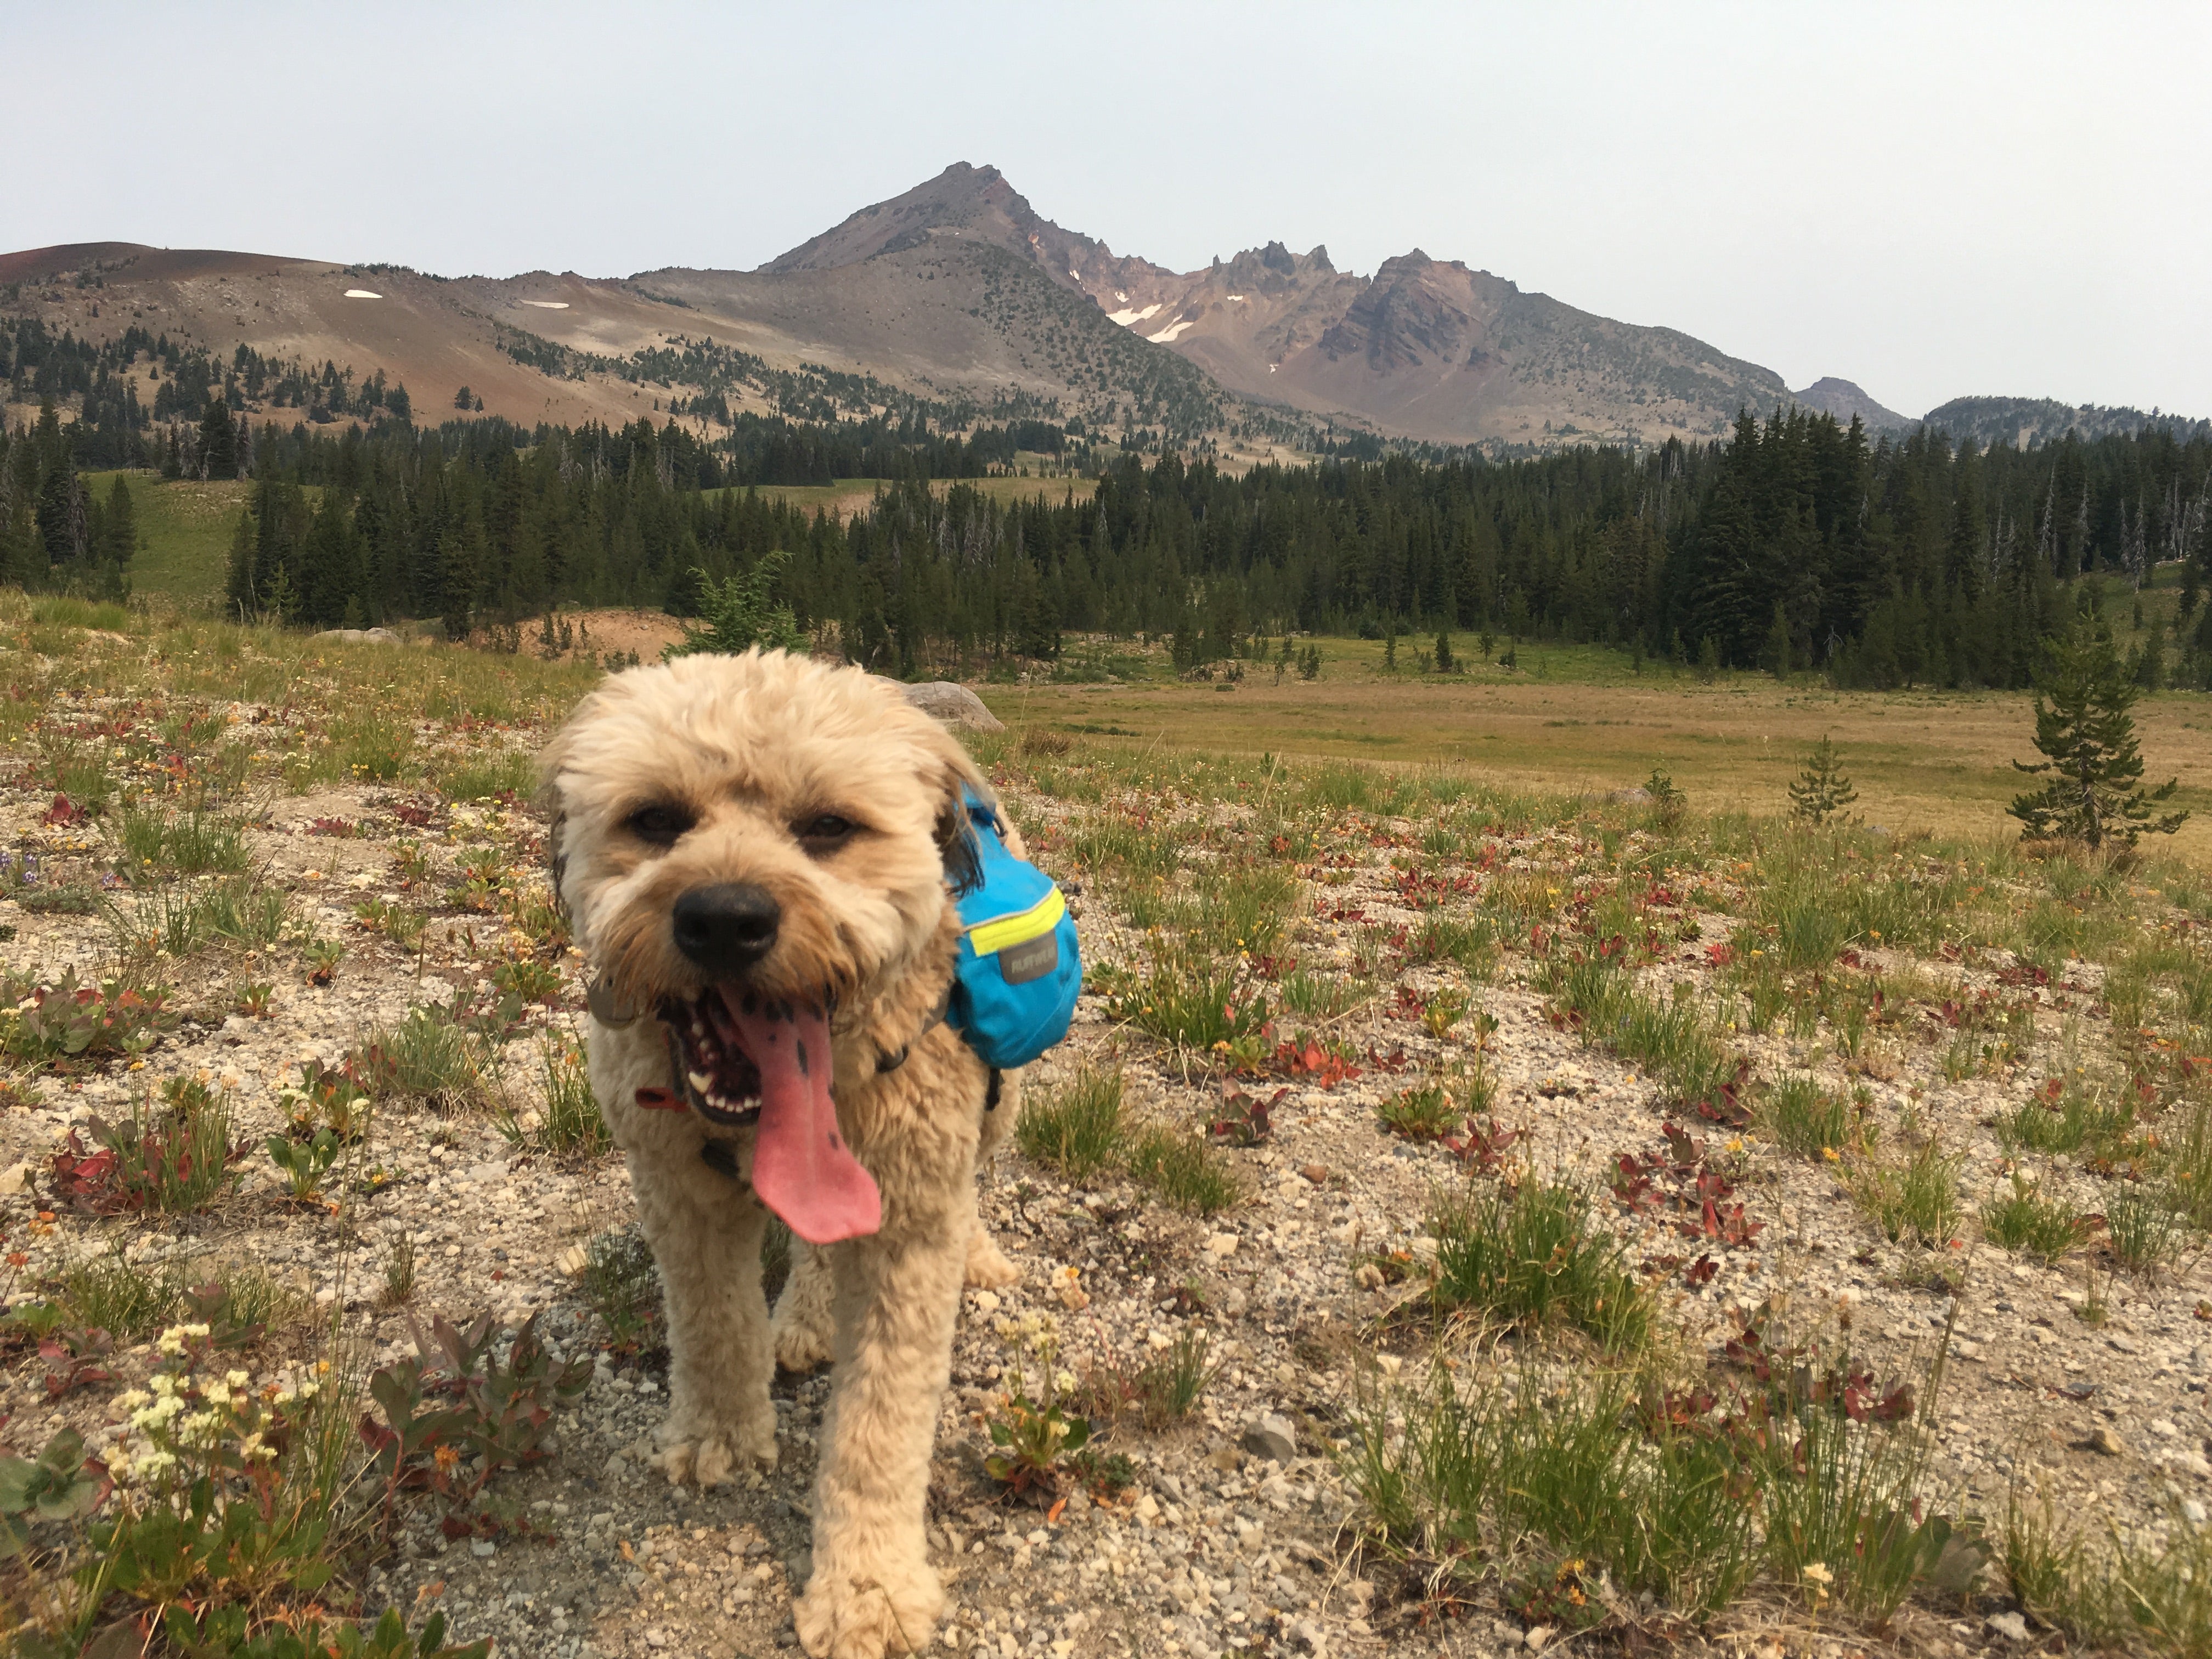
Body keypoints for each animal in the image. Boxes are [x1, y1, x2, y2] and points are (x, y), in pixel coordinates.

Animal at [544, 650, 1017, 1659]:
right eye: (657, 818)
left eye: (828, 826)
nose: (725, 918)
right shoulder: (679, 1195)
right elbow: (714, 1325)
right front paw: (721, 1435)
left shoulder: (911, 1226)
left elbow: (880, 1422)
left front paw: (868, 1586)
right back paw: (802, 1316)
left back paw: (981, 1253)